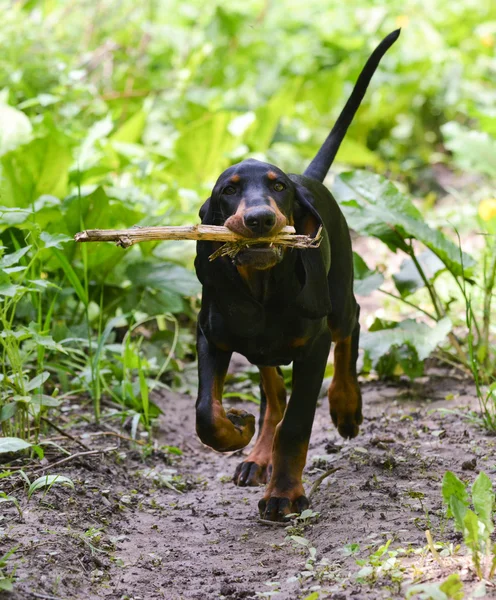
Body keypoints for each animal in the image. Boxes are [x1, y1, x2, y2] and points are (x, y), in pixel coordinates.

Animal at [194, 30, 400, 524]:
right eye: (229, 191)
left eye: (278, 187)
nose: (261, 220)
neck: (263, 289)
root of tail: (311, 176)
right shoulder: (212, 337)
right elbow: (207, 414)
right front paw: (238, 429)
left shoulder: (312, 348)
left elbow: (297, 425)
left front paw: (285, 495)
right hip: (261, 346)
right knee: (273, 391)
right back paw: (257, 454)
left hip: (337, 297)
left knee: (350, 328)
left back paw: (346, 406)